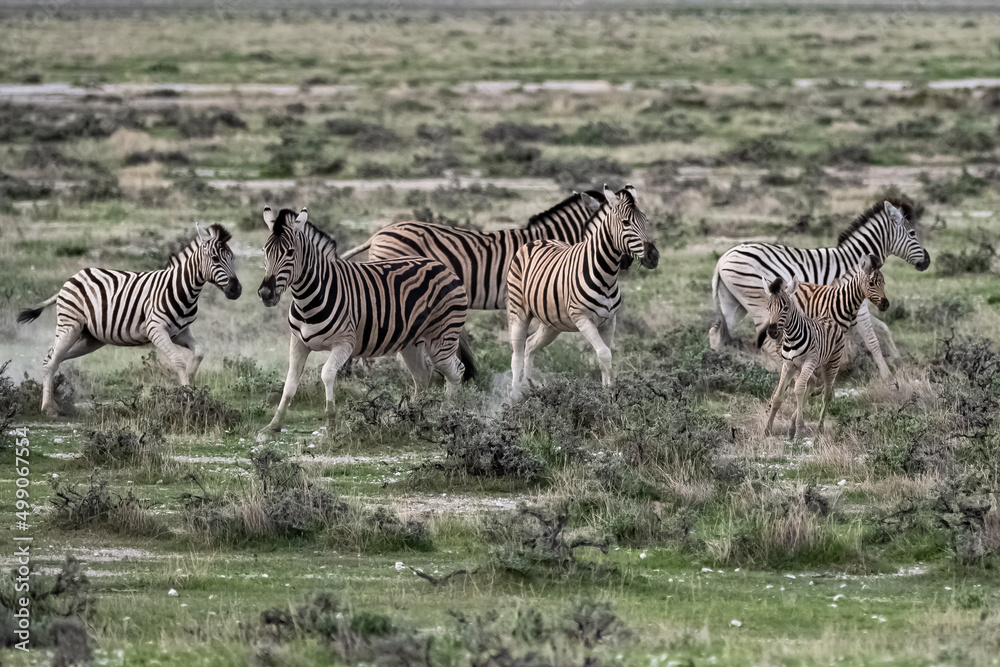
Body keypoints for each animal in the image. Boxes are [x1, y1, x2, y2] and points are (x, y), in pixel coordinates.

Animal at [16, 224, 241, 416]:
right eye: (215, 258)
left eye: (232, 258)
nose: (236, 290)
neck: (183, 289)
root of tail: (74, 277)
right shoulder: (156, 330)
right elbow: (179, 360)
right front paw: (188, 399)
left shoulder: (180, 332)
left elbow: (200, 352)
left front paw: (193, 383)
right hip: (69, 327)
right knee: (51, 362)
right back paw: (48, 408)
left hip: (89, 339)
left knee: (53, 357)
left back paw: (53, 403)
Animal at [256, 206, 475, 438]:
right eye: (264, 251)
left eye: (290, 252)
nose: (266, 294)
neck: (308, 300)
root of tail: (444, 268)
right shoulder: (298, 341)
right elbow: (290, 383)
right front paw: (272, 426)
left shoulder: (344, 343)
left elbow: (327, 375)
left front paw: (331, 426)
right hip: (411, 343)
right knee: (423, 376)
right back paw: (412, 419)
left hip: (441, 340)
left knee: (455, 372)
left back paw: (447, 418)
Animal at [506, 184, 658, 397]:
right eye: (626, 222)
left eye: (646, 221)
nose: (654, 257)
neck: (607, 275)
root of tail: (536, 241)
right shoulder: (583, 319)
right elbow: (604, 353)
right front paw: (611, 393)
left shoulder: (610, 321)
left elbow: (605, 356)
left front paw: (609, 393)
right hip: (519, 311)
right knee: (517, 354)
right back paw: (515, 396)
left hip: (551, 323)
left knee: (530, 345)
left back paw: (531, 389)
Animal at [761, 277, 845, 438]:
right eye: (768, 307)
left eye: (785, 308)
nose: (772, 332)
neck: (790, 338)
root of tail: (829, 318)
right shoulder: (788, 365)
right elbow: (778, 396)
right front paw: (767, 429)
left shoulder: (809, 362)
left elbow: (799, 389)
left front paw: (800, 430)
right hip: (803, 368)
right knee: (812, 383)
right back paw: (793, 425)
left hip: (831, 364)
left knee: (826, 395)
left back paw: (819, 429)